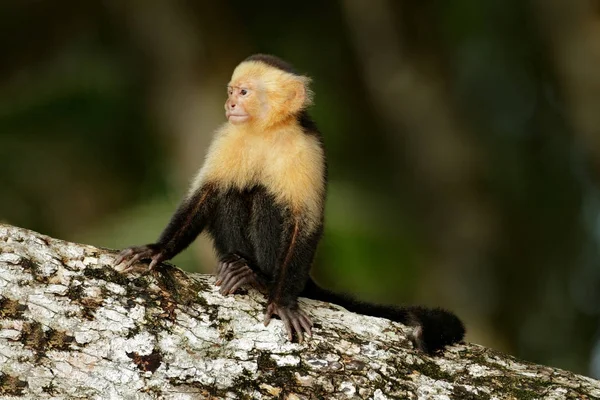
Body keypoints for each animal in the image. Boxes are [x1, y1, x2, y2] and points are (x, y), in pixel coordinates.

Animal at [115, 52, 466, 354]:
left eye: (244, 92)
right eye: (232, 91)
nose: (230, 103)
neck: (266, 130)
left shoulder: (307, 148)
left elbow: (303, 222)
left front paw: (282, 302)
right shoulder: (227, 136)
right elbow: (205, 194)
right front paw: (157, 250)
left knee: (267, 200)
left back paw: (258, 277)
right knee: (234, 191)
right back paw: (237, 264)